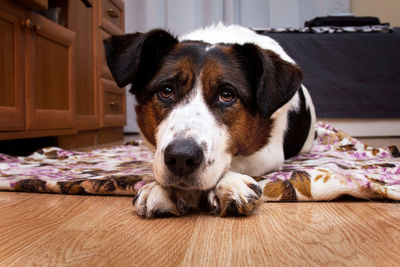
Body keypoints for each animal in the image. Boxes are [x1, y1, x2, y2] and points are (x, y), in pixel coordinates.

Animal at [104, 24, 316, 218]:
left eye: (227, 95)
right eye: (166, 91)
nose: (181, 157)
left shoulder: (271, 152)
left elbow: (234, 162)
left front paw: (230, 183)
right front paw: (159, 188)